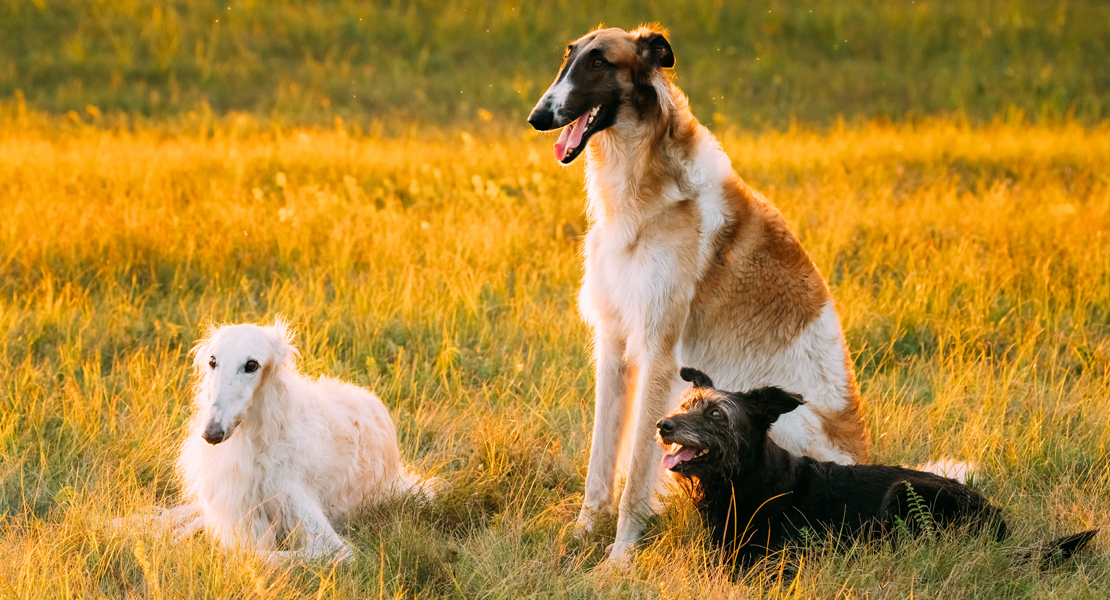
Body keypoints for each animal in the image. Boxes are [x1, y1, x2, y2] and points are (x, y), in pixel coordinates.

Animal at [139, 319, 432, 558]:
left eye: (252, 364)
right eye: (213, 361)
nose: (211, 434)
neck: (255, 439)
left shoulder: (331, 544)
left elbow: (247, 555)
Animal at [530, 25, 874, 563]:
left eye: (599, 62)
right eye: (569, 56)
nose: (538, 117)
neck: (645, 186)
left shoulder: (659, 352)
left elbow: (635, 475)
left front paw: (619, 557)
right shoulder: (614, 342)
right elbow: (601, 463)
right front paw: (583, 534)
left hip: (787, 425)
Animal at [652, 368, 1096, 567]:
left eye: (715, 413)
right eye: (687, 405)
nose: (663, 425)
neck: (742, 481)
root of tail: (997, 521)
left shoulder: (770, 561)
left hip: (903, 496)